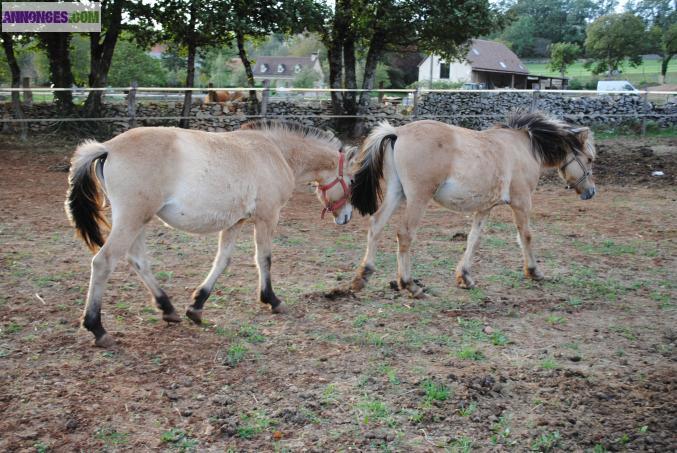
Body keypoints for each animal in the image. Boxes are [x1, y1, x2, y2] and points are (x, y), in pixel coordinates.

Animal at [66, 120, 356, 346]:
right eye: (352, 180)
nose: (346, 217)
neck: (276, 153)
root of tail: (108, 148)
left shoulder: (236, 222)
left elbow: (222, 261)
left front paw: (196, 306)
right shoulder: (266, 218)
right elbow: (264, 259)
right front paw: (272, 300)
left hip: (137, 221)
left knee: (137, 261)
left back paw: (168, 308)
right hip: (132, 220)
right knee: (103, 262)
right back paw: (97, 328)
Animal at [352, 112, 596, 296]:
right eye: (590, 159)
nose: (591, 192)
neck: (524, 148)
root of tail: (398, 132)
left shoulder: (485, 208)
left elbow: (473, 239)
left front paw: (465, 277)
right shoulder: (521, 202)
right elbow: (526, 236)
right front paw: (534, 271)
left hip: (396, 193)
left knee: (376, 224)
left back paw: (362, 276)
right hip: (417, 198)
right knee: (404, 234)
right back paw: (409, 284)